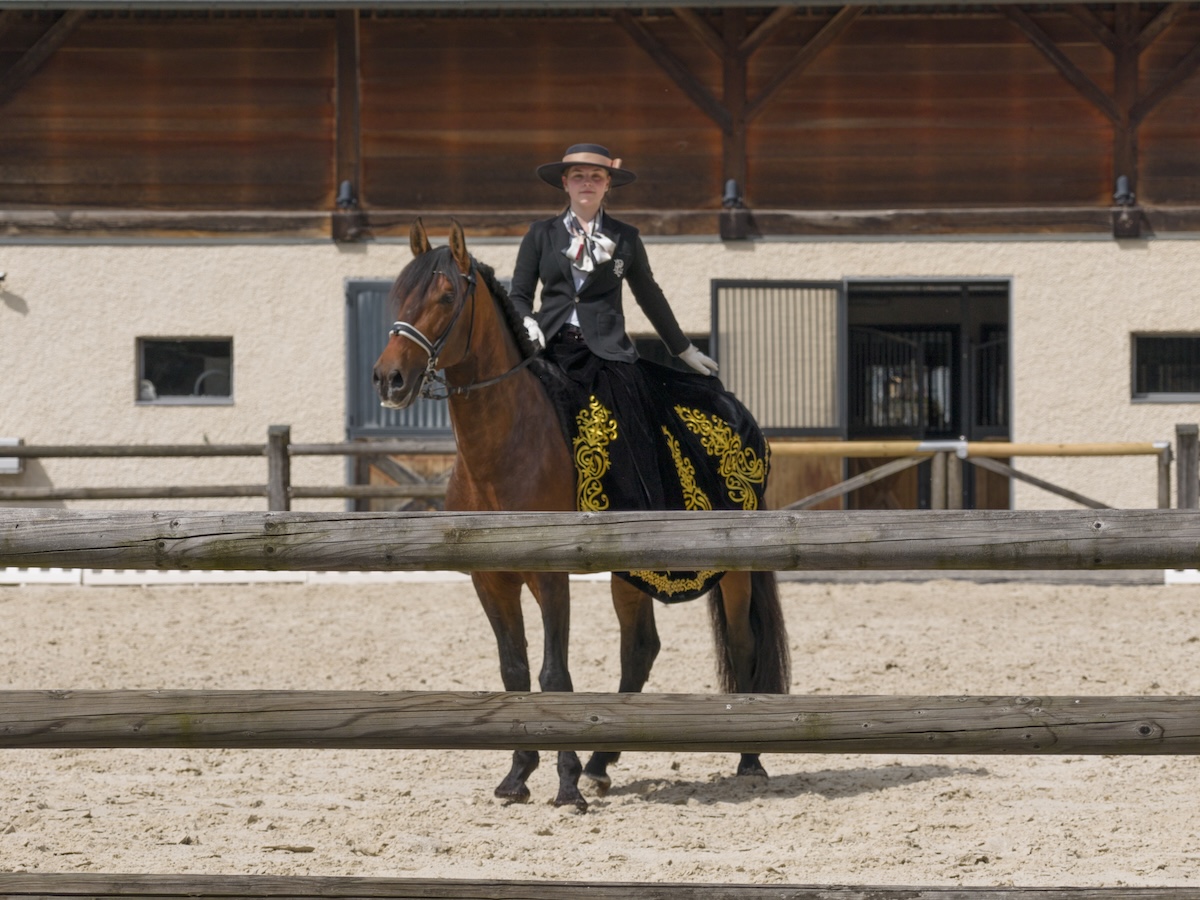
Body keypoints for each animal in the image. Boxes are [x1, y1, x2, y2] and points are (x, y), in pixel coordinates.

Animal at [373, 219, 790, 812]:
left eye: (447, 296)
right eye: (398, 295)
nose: (389, 379)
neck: (504, 450)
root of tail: (734, 406)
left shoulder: (551, 577)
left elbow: (555, 674)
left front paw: (565, 782)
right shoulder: (490, 580)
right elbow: (515, 670)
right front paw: (519, 773)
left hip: (734, 570)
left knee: (741, 644)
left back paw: (748, 759)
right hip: (632, 573)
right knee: (639, 650)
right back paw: (601, 763)